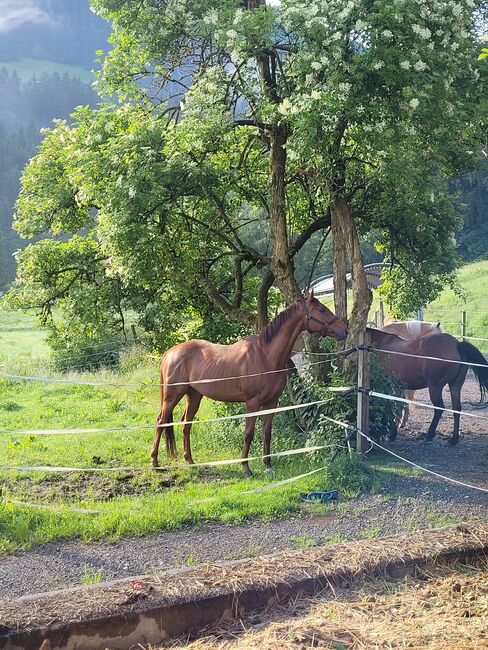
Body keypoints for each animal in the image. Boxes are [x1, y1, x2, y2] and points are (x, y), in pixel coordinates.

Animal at [152, 292, 346, 474]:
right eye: (321, 309)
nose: (344, 330)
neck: (265, 355)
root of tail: (170, 352)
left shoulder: (271, 402)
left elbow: (267, 433)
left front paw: (268, 465)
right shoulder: (252, 403)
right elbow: (248, 434)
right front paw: (246, 468)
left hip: (194, 396)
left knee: (186, 424)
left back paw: (190, 461)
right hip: (172, 396)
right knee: (161, 421)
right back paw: (154, 462)